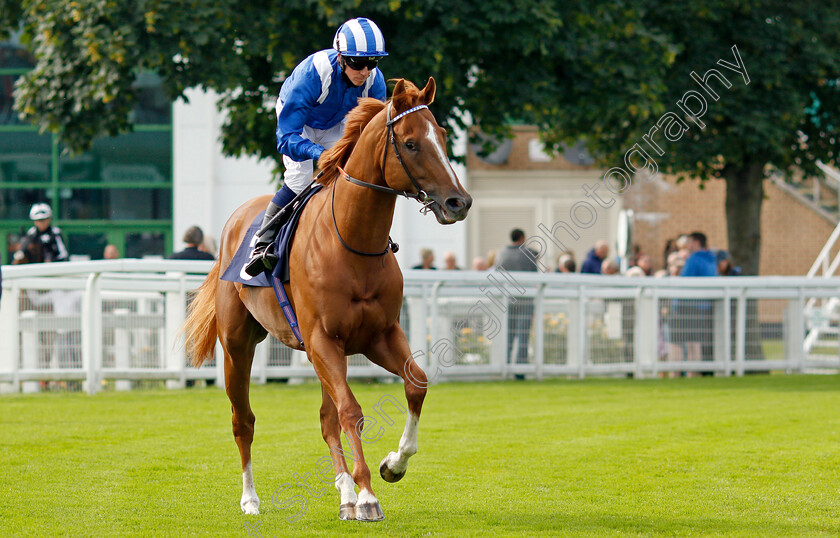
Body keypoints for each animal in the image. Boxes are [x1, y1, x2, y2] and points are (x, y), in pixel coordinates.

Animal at [183, 79, 470, 520]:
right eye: (410, 143)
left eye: (441, 135)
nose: (459, 202)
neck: (352, 242)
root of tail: (234, 220)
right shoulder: (323, 339)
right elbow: (351, 411)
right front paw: (368, 495)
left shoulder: (378, 335)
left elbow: (415, 384)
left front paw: (392, 465)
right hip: (238, 345)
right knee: (243, 420)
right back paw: (251, 499)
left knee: (325, 418)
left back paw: (344, 493)